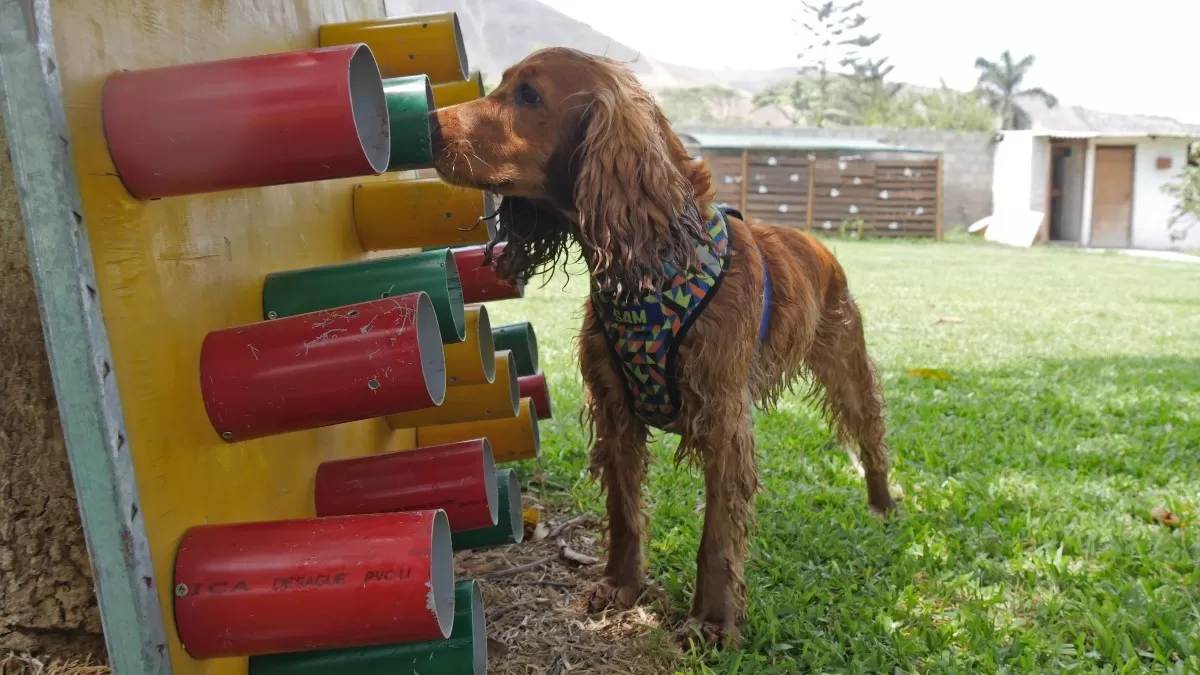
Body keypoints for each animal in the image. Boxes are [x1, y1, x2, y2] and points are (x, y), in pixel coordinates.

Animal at [427, 44, 897, 643]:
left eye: (529, 94)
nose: (425, 122)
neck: (654, 266)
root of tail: (818, 245)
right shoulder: (615, 410)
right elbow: (625, 513)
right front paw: (621, 587)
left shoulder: (722, 419)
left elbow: (716, 536)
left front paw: (712, 620)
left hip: (847, 368)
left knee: (871, 437)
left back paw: (882, 504)